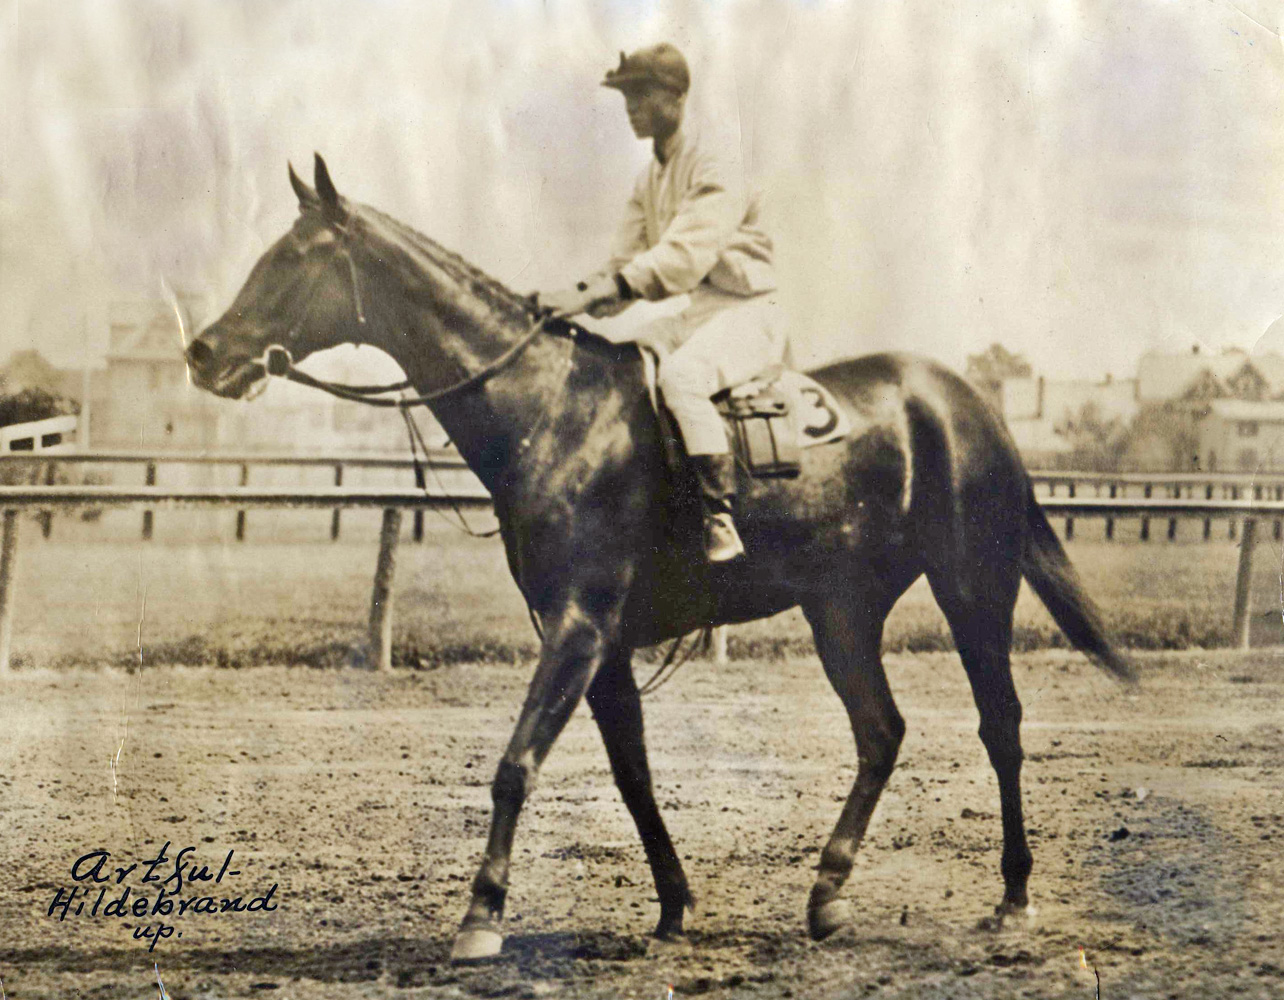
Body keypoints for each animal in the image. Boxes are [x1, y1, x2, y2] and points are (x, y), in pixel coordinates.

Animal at [183, 154, 1135, 960]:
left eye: (292, 256)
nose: (203, 351)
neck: (553, 413)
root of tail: (965, 399)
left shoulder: (579, 627)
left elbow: (516, 764)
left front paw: (481, 915)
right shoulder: (596, 645)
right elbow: (632, 774)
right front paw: (675, 905)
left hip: (974, 588)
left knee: (1000, 725)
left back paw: (1013, 897)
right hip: (842, 610)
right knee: (880, 731)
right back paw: (827, 893)